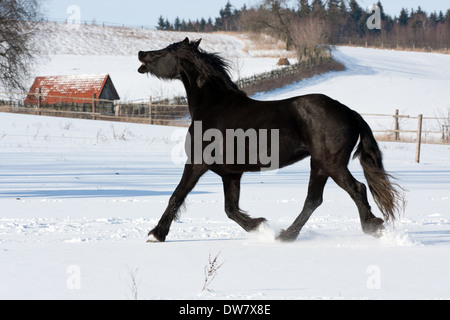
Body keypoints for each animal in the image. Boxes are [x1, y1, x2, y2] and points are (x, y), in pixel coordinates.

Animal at [138, 37, 400, 242]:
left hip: (331, 163)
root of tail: (350, 112)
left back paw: (372, 227)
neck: (214, 106)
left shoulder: (197, 163)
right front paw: (259, 225)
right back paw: (286, 235)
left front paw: (156, 234)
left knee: (356, 189)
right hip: (320, 165)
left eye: (166, 51)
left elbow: (177, 195)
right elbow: (230, 209)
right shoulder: (231, 174)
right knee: (314, 199)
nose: (141, 54)